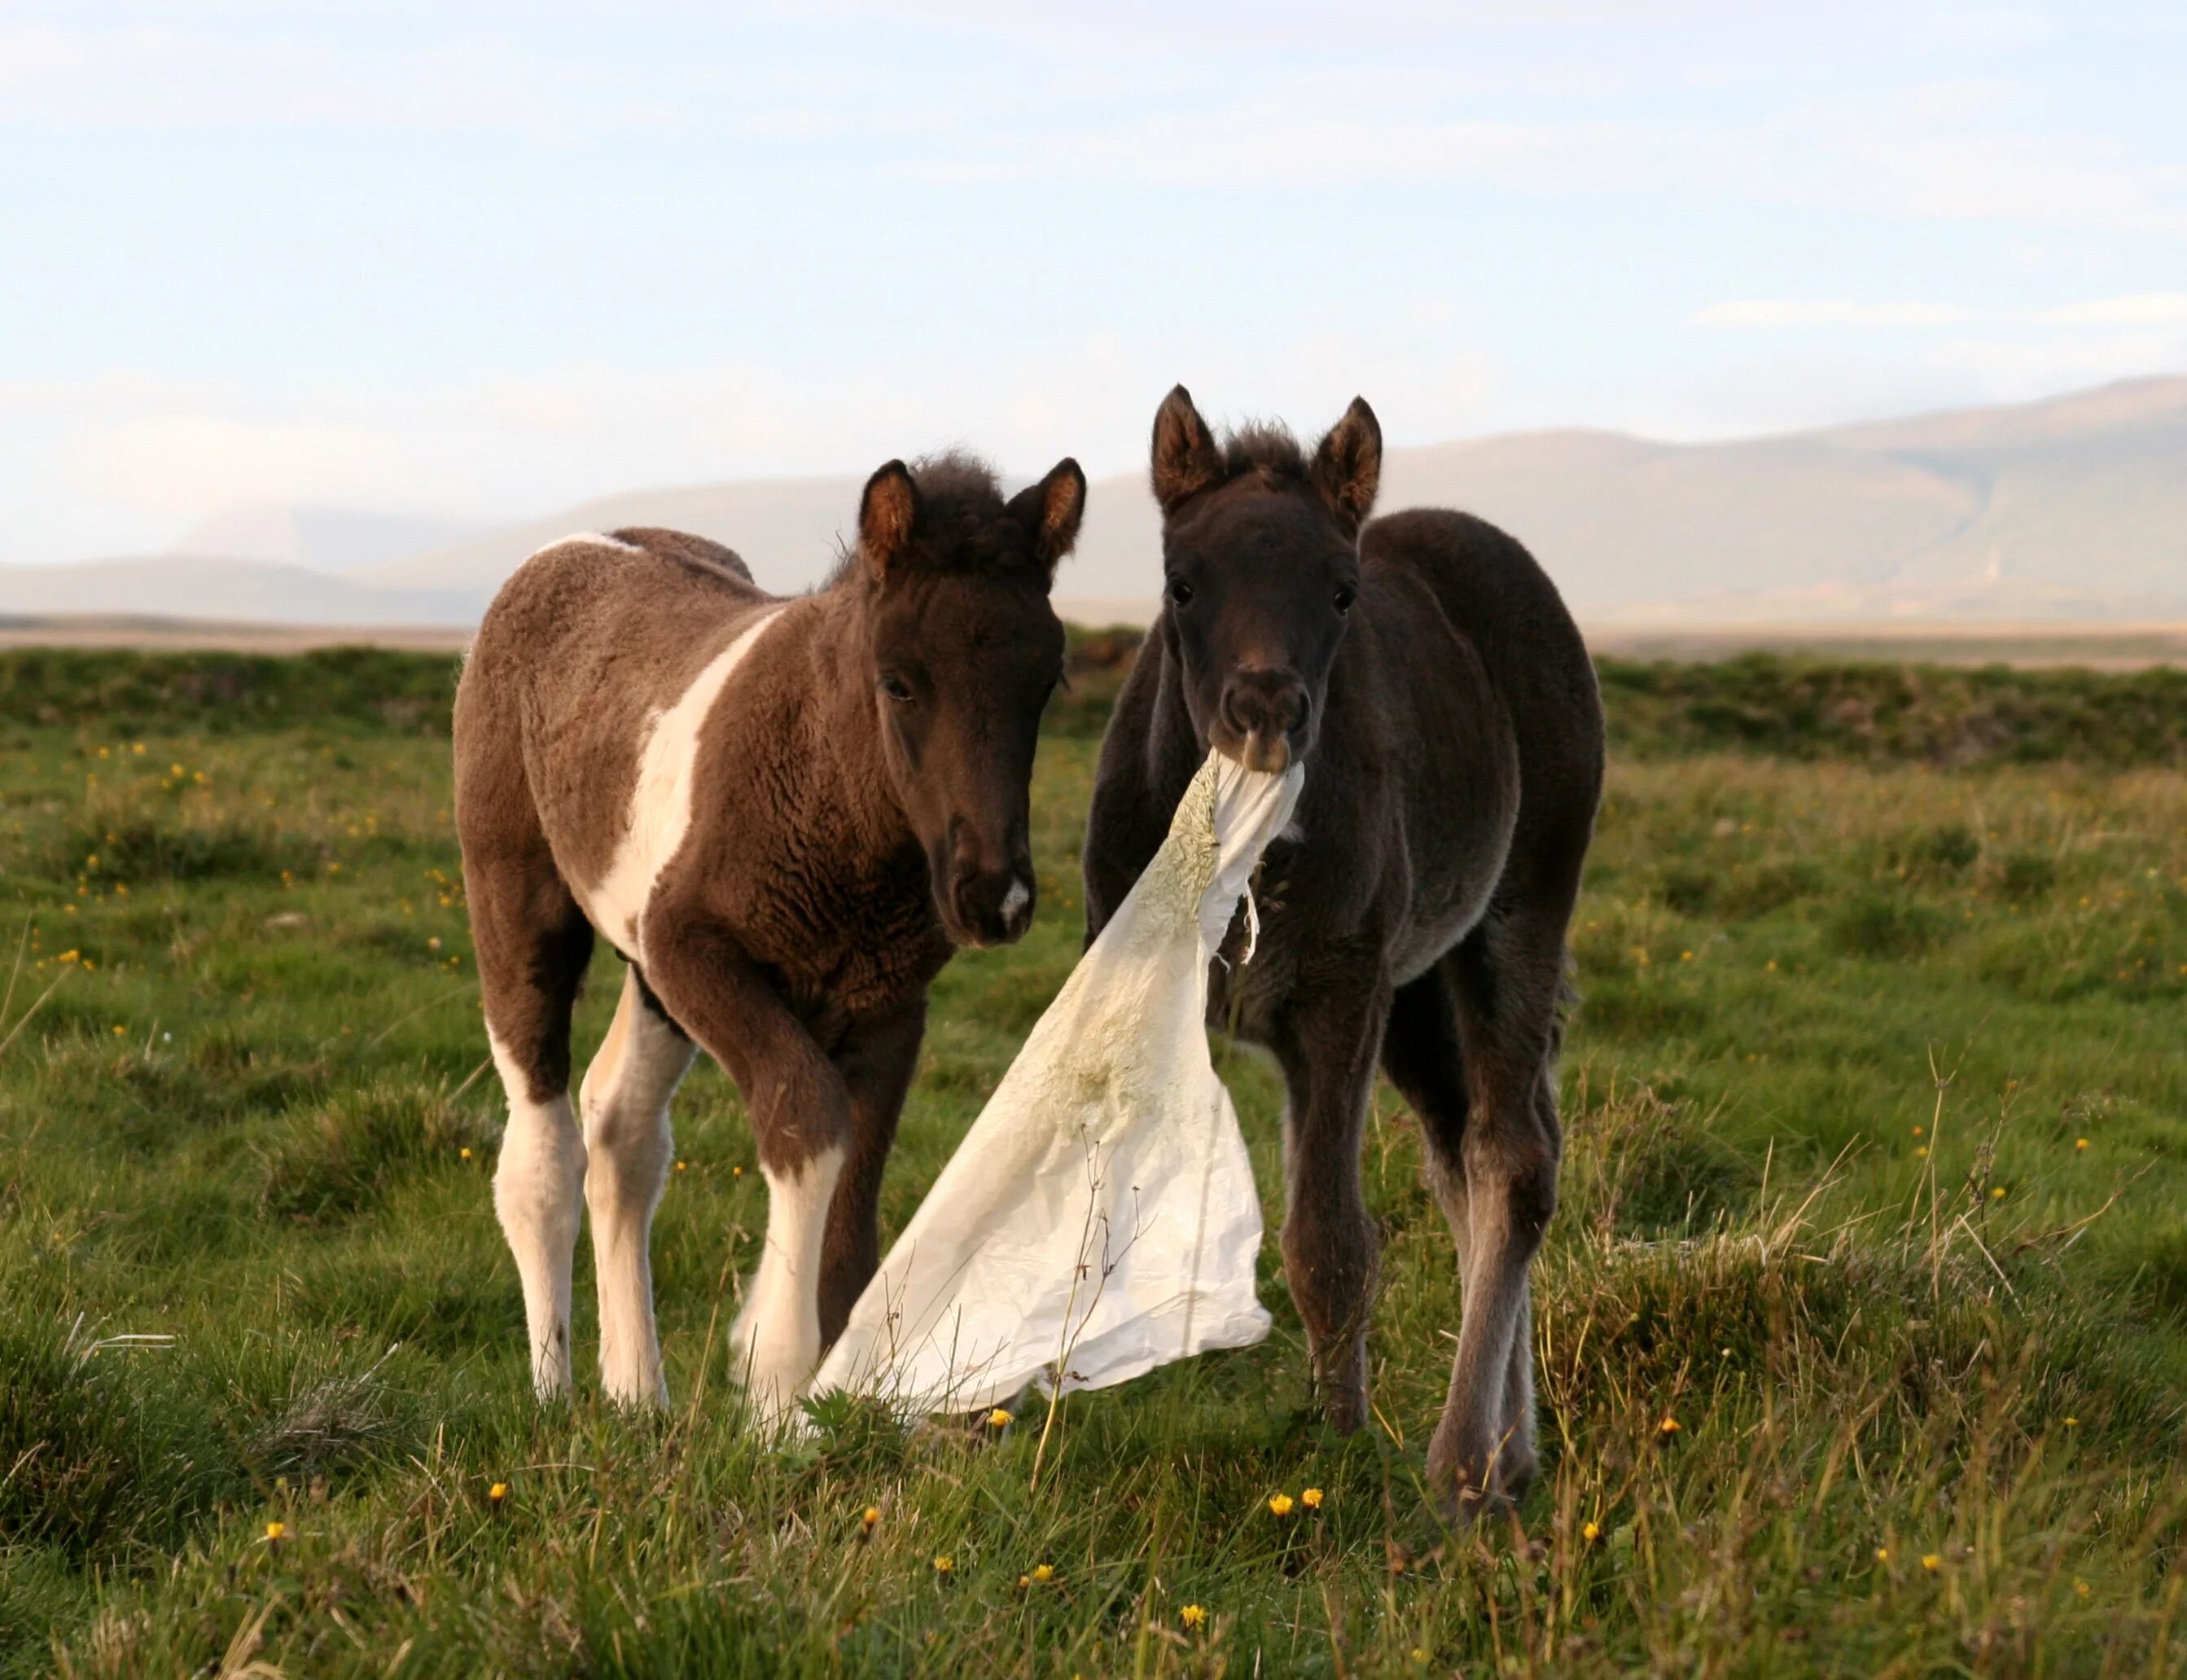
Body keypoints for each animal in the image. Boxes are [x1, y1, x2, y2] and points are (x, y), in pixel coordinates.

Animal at [454, 453, 1085, 1408]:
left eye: (1047, 681)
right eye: (899, 679)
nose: (994, 898)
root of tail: (564, 550)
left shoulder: (890, 1003)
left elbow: (858, 1174)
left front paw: (834, 1388)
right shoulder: (694, 952)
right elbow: (806, 1114)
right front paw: (777, 1380)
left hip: (649, 977)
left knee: (622, 1132)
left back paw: (636, 1395)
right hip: (520, 899)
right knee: (542, 1147)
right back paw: (553, 1391)